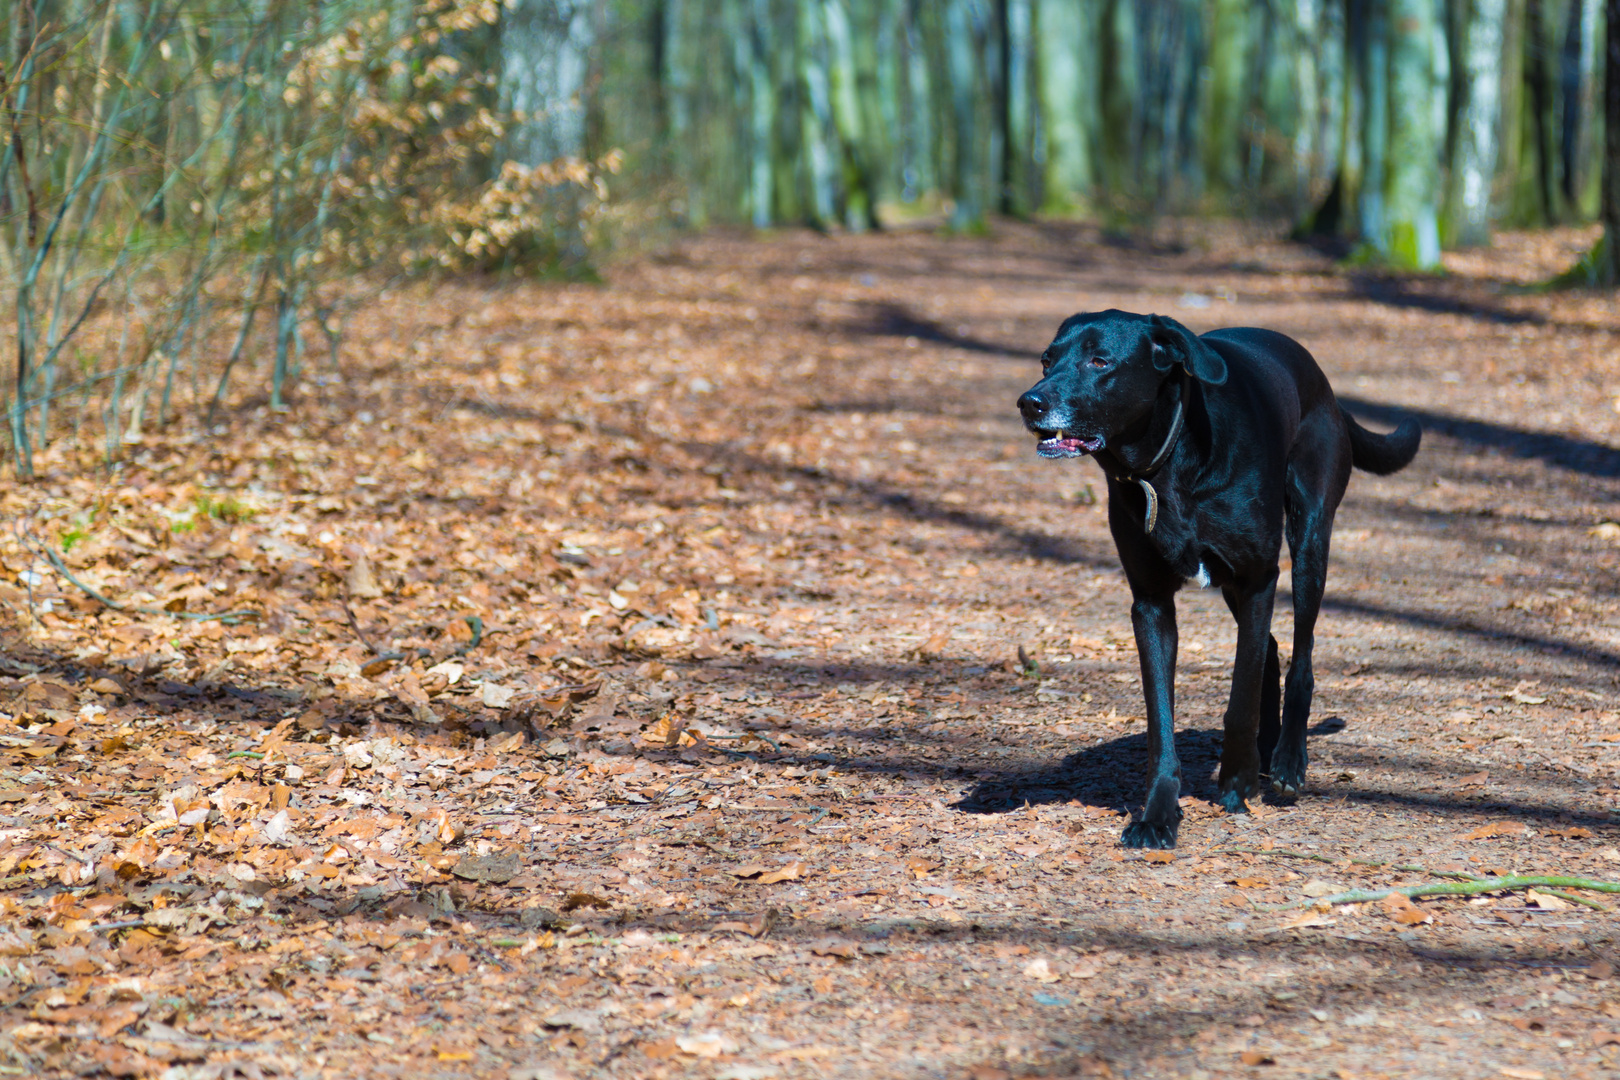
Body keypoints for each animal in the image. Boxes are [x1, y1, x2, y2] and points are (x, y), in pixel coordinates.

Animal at [1017, 307, 1425, 848]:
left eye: (1099, 360)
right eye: (1047, 359)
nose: (1029, 402)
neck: (1168, 462)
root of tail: (1325, 384)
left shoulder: (1258, 579)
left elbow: (1241, 691)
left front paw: (1237, 782)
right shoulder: (1152, 603)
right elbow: (1162, 722)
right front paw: (1158, 814)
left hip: (1308, 541)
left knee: (1300, 657)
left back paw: (1287, 761)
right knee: (1271, 648)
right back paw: (1268, 750)